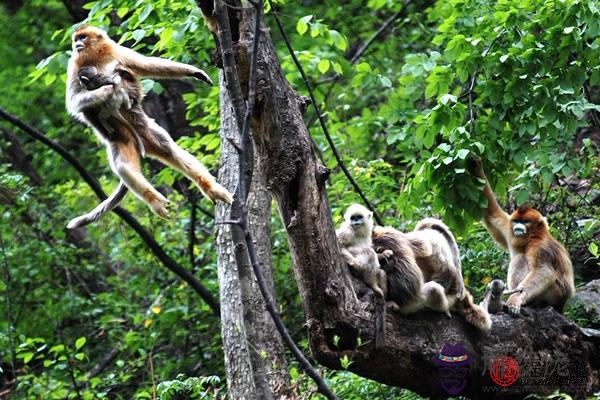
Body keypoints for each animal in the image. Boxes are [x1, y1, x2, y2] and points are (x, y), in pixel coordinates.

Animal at [66, 25, 232, 228]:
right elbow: (75, 101)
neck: (95, 57)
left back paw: (212, 189)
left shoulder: (117, 52)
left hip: (144, 130)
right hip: (124, 137)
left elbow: (147, 64)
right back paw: (155, 202)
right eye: (76, 39)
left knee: (169, 150)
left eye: (82, 37)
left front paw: (195, 72)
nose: (77, 44)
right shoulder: (74, 65)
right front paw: (109, 87)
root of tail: (140, 144)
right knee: (124, 166)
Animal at [472, 159, 576, 316]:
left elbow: (543, 271)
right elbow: (492, 214)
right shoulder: (509, 230)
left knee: (521, 258)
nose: (518, 227)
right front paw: (475, 165)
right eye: (516, 221)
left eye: (525, 221)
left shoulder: (541, 246)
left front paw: (515, 300)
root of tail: (561, 306)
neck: (530, 239)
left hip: (556, 294)